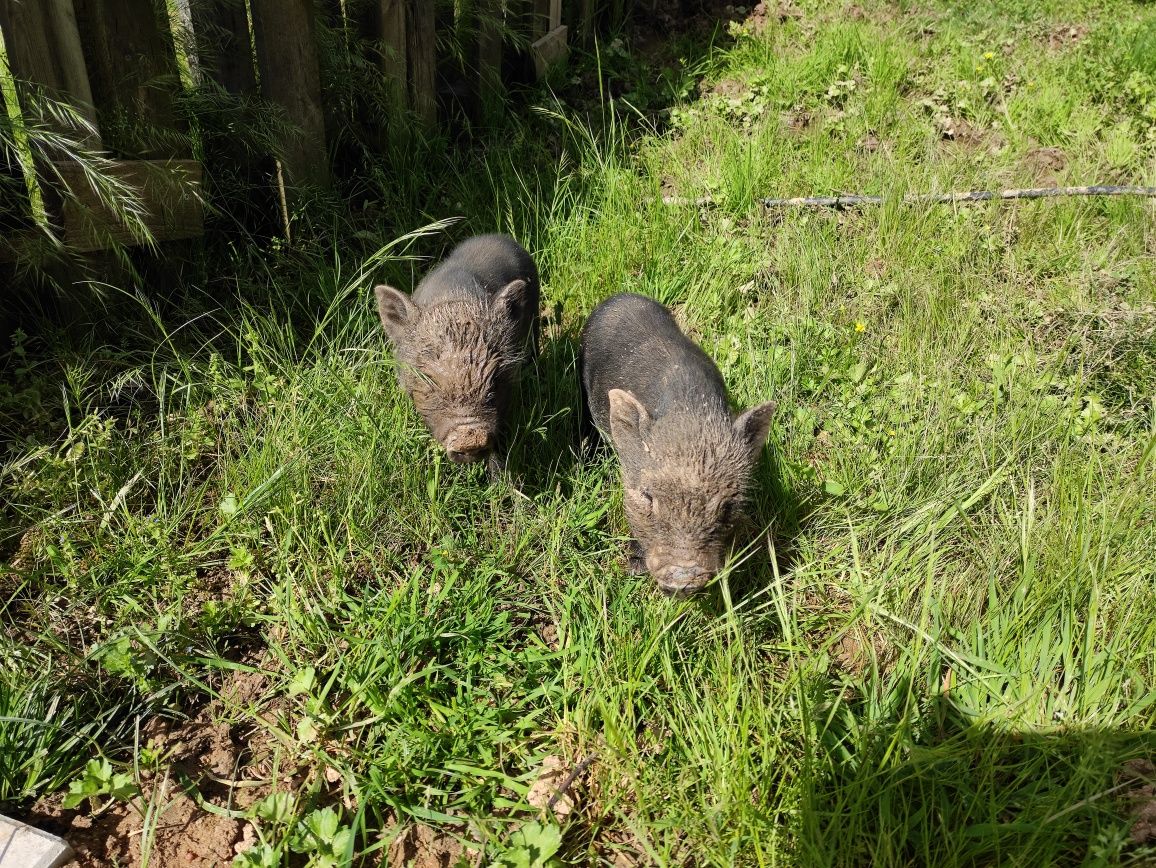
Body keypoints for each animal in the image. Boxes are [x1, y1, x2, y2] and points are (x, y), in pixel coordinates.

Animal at [578, 292, 776, 596]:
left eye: (728, 506)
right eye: (647, 497)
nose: (684, 577)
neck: (689, 413)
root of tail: (623, 295)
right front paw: (634, 570)